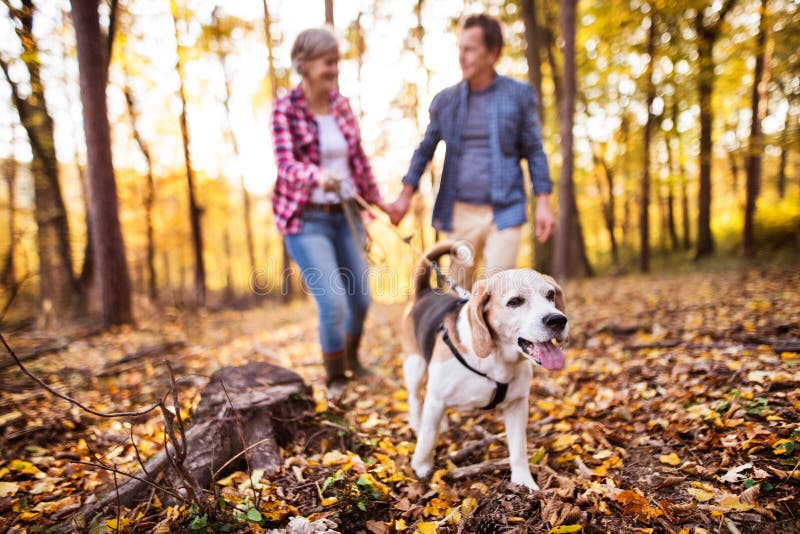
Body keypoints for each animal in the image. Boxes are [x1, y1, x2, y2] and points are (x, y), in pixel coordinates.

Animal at [400, 243, 568, 490]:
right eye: (515, 302)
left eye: (550, 295)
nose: (558, 320)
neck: (496, 359)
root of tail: (426, 291)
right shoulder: (437, 398)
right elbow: (428, 437)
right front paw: (421, 466)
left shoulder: (517, 405)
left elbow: (519, 448)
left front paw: (524, 481)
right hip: (415, 365)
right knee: (415, 398)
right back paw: (416, 422)